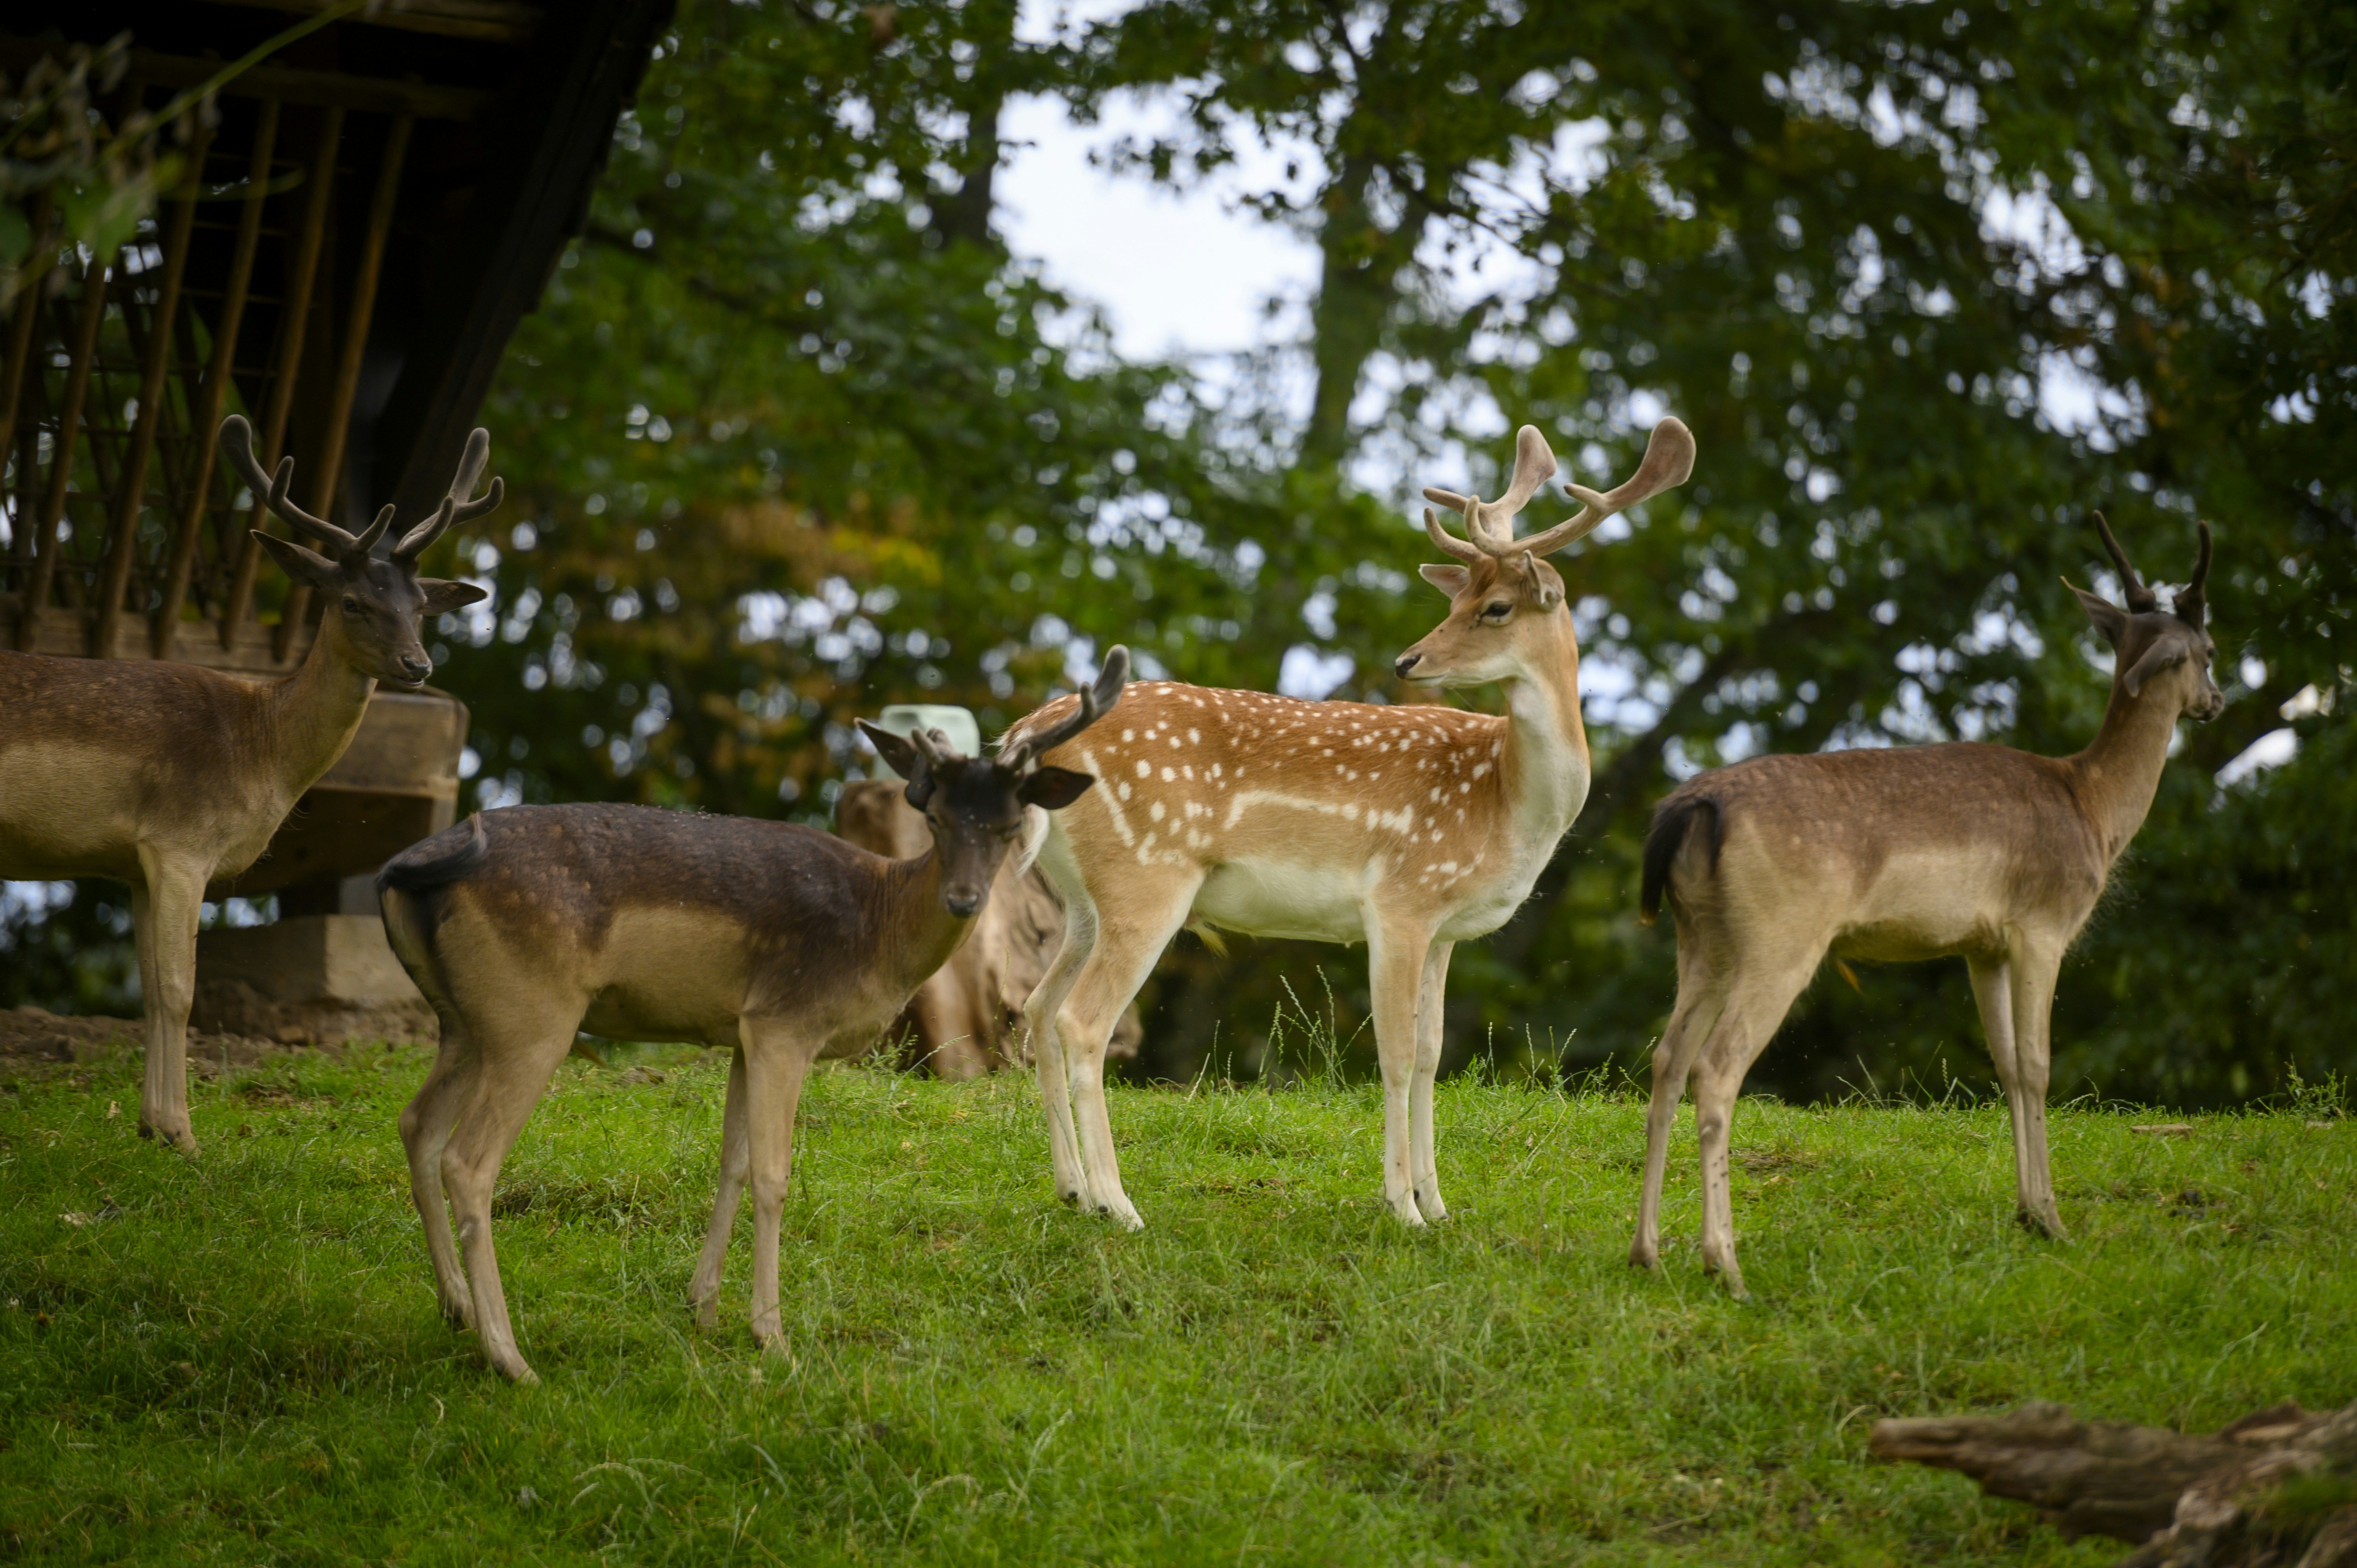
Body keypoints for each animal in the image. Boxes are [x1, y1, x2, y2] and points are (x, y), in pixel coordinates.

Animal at [0, 415, 496, 1153]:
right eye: (353, 601)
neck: (259, 751)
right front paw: (181, 1134)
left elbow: (151, 985)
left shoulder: (134, 865)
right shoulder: (181, 843)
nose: (418, 664)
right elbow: (179, 988)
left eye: (420, 606)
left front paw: (150, 1127)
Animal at [373, 651, 1127, 1383]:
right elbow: (772, 1174)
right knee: (469, 1160)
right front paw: (773, 1336)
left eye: (1009, 826)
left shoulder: (741, 1030)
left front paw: (703, 1309)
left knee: (417, 1124)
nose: (965, 898)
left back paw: (456, 1309)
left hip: (463, 1020)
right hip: (532, 1013)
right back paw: (509, 1356)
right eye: (936, 817)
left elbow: (730, 1161)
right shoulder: (786, 1021)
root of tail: (408, 867)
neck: (879, 925)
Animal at [1008, 418, 1696, 1230]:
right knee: (1083, 1021)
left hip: (1083, 895)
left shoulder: (1445, 927)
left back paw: (1072, 1187)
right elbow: (1394, 1051)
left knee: (1037, 1005)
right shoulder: (1400, 898)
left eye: (1494, 606)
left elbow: (1431, 1051)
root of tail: (1026, 735)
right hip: (1148, 875)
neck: (1504, 802)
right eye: (1460, 598)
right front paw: (1401, 1205)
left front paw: (1438, 1202)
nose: (1408, 659)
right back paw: (1119, 1202)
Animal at [1630, 516, 2224, 1298]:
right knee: (1716, 1066)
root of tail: (1688, 807)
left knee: (1667, 1058)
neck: (2093, 807)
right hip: (1781, 939)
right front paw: (2054, 1219)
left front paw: (2026, 1213)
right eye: (2209, 650)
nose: (2217, 702)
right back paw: (1724, 1263)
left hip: (1701, 938)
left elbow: (2006, 1064)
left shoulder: (1981, 947)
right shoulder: (2042, 925)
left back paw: (1645, 1251)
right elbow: (2039, 1062)